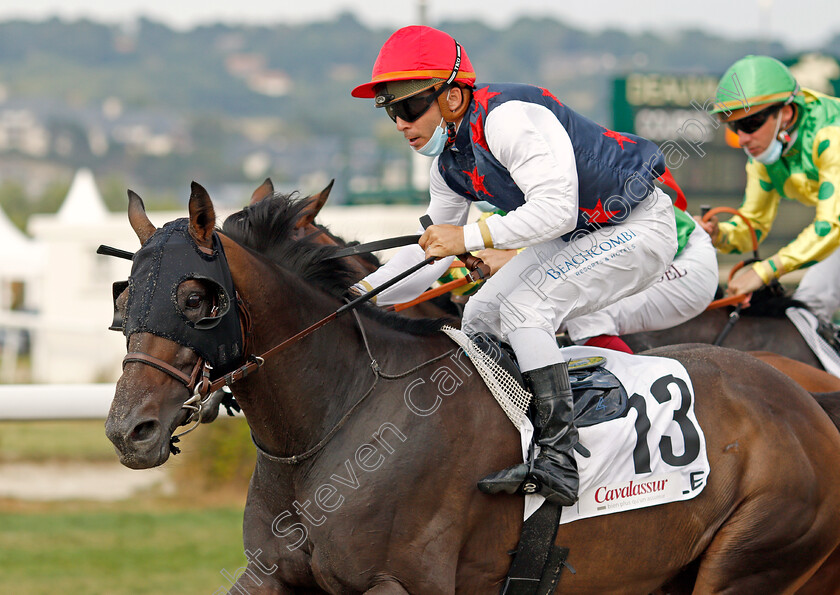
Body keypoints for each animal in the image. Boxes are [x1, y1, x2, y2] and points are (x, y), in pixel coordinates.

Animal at [106, 184, 840, 592]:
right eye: (124, 297)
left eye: (195, 299)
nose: (129, 430)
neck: (337, 419)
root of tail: (807, 404)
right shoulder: (273, 574)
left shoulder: (402, 582)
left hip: (752, 557)